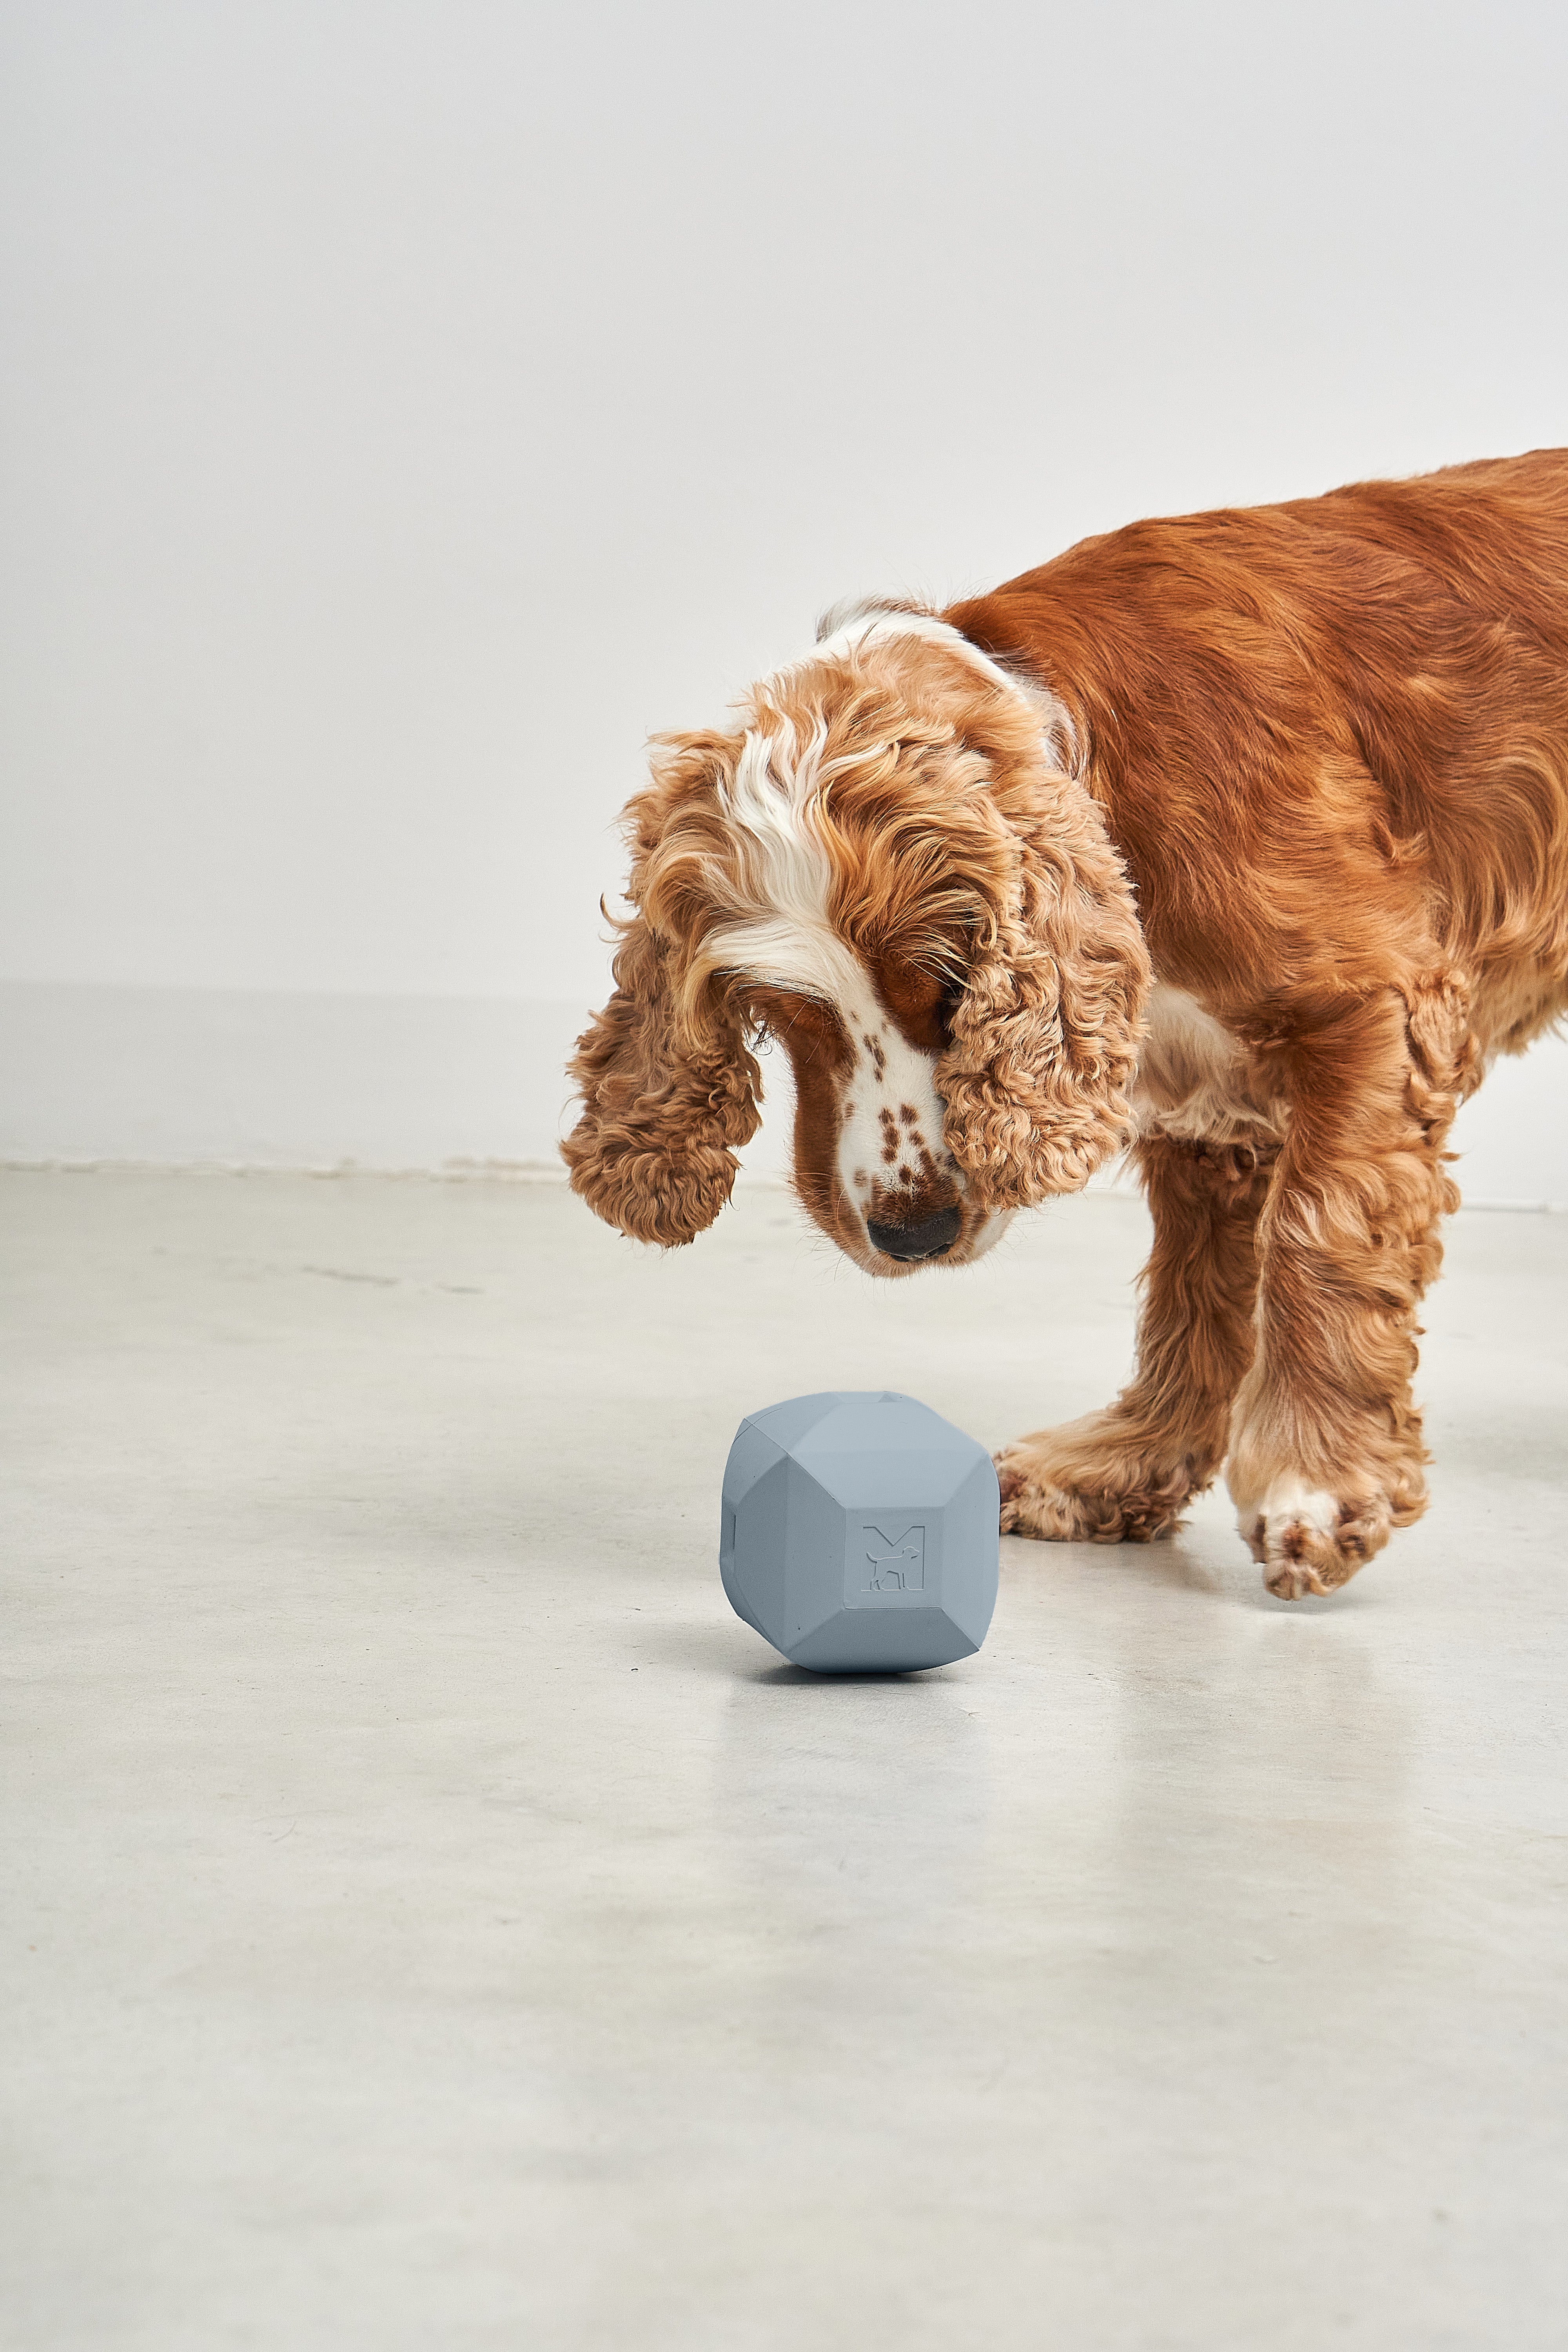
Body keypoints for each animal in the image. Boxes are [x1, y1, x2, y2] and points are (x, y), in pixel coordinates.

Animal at [564, 454, 1568, 1599]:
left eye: (952, 983)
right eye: (780, 1010)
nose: (914, 1234)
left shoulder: (1372, 1003)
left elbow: (1318, 1236)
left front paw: (1314, 1484)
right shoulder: (1203, 1094)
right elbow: (1193, 1292)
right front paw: (1122, 1467)